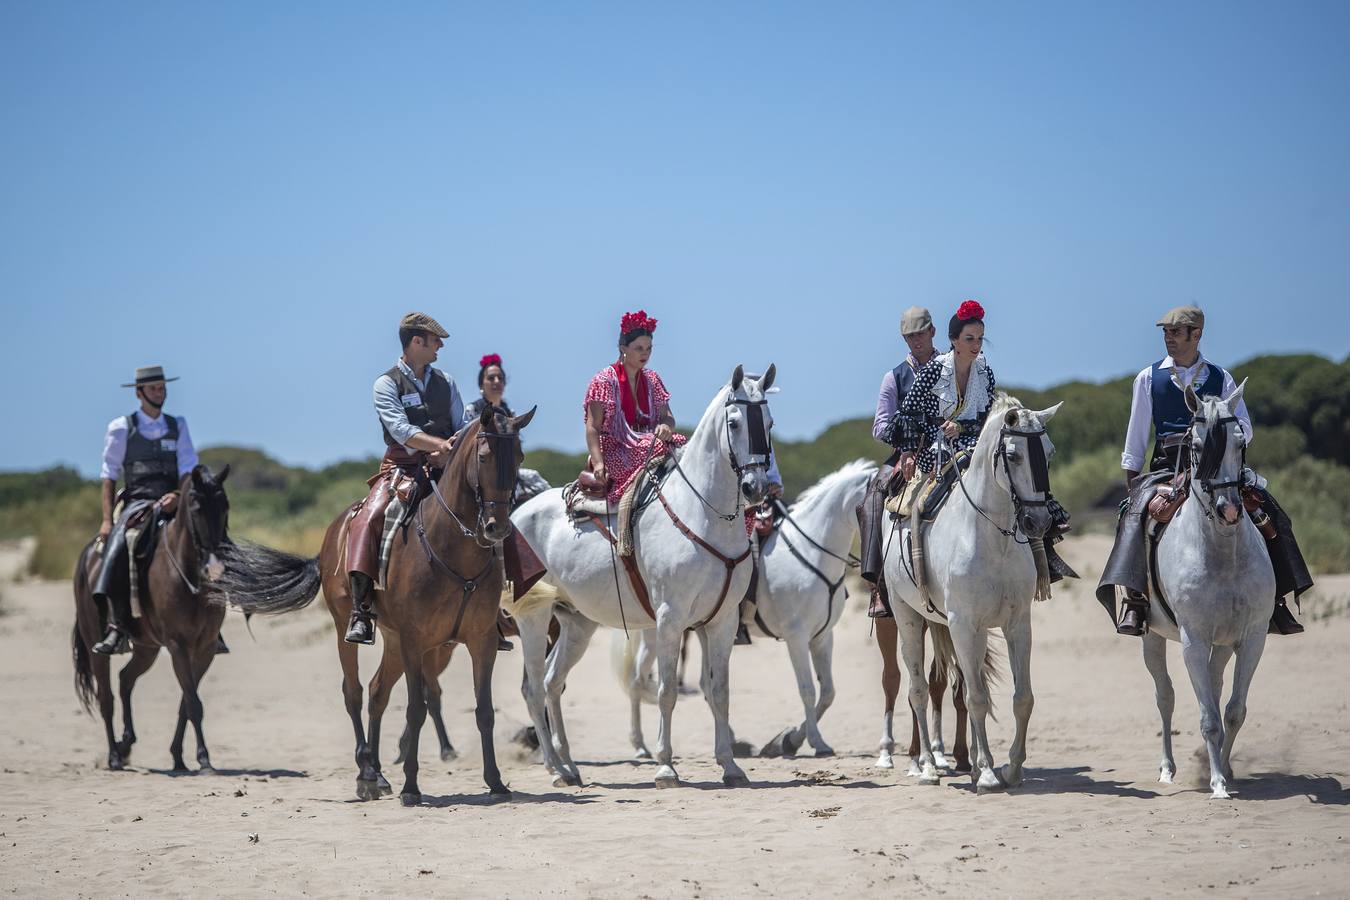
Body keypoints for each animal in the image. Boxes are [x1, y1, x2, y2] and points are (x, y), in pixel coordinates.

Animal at [73, 469, 234, 771]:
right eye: (196, 508)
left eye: (225, 507)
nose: (216, 567)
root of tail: (88, 555)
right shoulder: (177, 646)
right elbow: (193, 703)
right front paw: (204, 758)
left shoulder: (205, 648)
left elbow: (187, 702)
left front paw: (179, 757)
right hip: (95, 645)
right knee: (106, 698)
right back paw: (114, 756)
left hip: (146, 649)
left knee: (125, 679)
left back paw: (126, 745)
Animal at [510, 367, 777, 788]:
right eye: (734, 422)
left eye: (768, 423)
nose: (756, 488)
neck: (703, 513)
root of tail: (517, 514)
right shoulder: (670, 619)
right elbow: (667, 691)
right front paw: (666, 767)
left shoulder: (721, 622)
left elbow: (719, 692)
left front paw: (731, 766)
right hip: (534, 619)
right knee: (534, 688)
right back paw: (554, 769)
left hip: (577, 623)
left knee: (553, 682)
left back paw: (569, 766)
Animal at [618, 461, 874, 766]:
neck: (812, 551)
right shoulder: (796, 636)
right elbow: (808, 690)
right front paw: (809, 742)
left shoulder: (822, 637)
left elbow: (828, 693)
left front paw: (788, 740)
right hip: (657, 635)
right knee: (638, 680)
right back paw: (641, 746)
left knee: (704, 685)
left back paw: (730, 742)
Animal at [885, 396, 1063, 793]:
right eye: (1012, 455)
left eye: (1049, 451)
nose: (1039, 522)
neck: (991, 537)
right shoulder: (965, 625)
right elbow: (977, 698)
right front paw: (987, 774)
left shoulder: (1016, 625)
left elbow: (1021, 698)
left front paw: (1012, 769)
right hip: (908, 619)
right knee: (918, 691)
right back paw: (927, 766)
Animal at [1144, 383, 1269, 798]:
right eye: (1197, 447)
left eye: (1241, 443)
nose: (1229, 510)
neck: (1223, 553)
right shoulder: (1193, 641)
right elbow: (1208, 718)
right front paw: (1216, 784)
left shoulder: (1253, 638)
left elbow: (1233, 711)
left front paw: (1225, 770)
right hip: (1152, 637)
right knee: (1165, 697)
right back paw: (1167, 769)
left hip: (1224, 644)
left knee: (1214, 688)